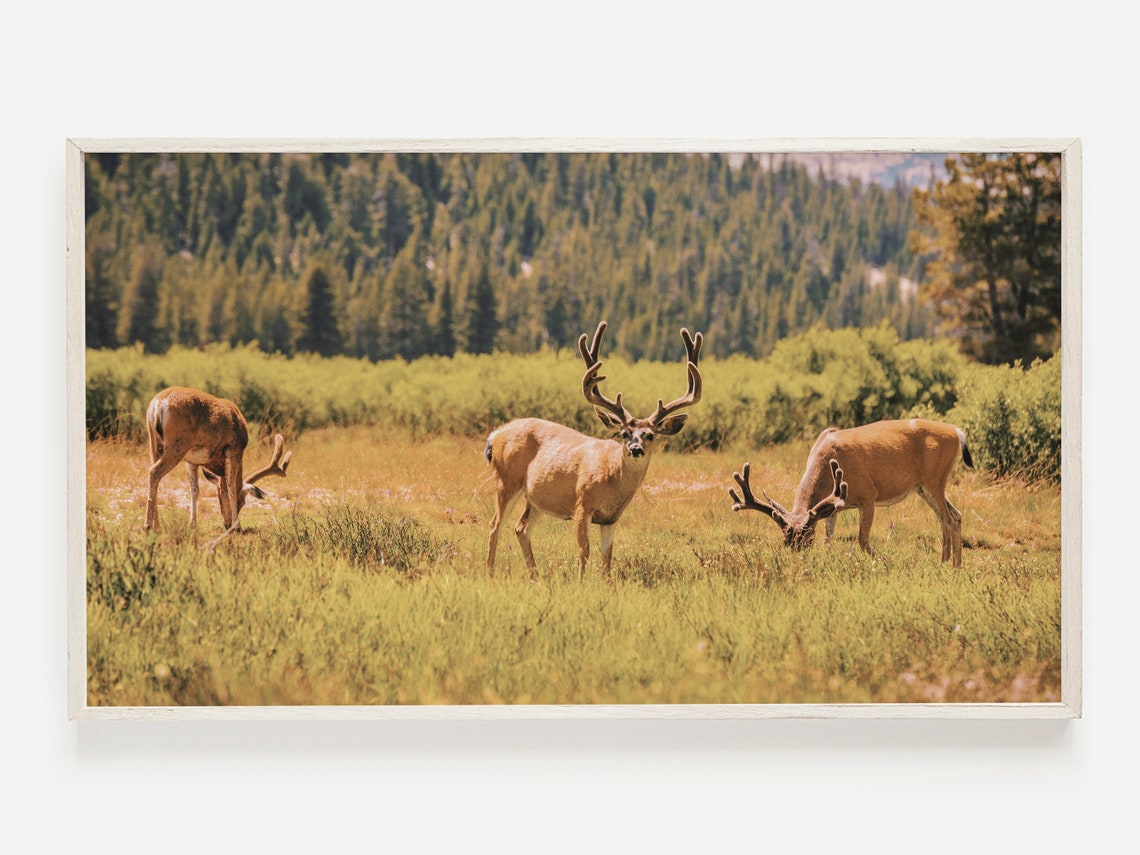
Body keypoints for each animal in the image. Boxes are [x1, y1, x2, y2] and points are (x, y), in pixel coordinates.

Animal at [144, 386, 292, 534]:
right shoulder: (234, 449)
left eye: (218, 496)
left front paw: (193, 524)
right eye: (243, 501)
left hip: (155, 445)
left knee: (154, 475)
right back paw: (149, 526)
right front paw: (238, 526)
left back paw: (156, 526)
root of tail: (158, 403)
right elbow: (231, 487)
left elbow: (195, 490)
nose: (227, 524)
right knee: (154, 472)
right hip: (177, 446)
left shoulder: (192, 460)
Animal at [484, 321, 703, 579]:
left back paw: (535, 577)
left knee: (521, 528)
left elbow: (607, 557)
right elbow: (584, 550)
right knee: (495, 525)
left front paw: (606, 583)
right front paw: (580, 582)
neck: (612, 481)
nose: (635, 449)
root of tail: (497, 434)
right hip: (506, 480)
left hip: (536, 498)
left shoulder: (611, 518)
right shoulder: (582, 504)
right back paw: (490, 573)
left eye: (650, 435)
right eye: (624, 433)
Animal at [729, 418, 974, 567]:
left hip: (934, 480)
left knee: (948, 518)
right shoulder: (835, 506)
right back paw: (952, 564)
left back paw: (947, 564)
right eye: (785, 541)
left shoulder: (868, 495)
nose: (797, 563)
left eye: (808, 539)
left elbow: (862, 540)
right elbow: (829, 538)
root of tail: (957, 432)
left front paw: (884, 562)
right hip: (924, 487)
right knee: (954, 515)